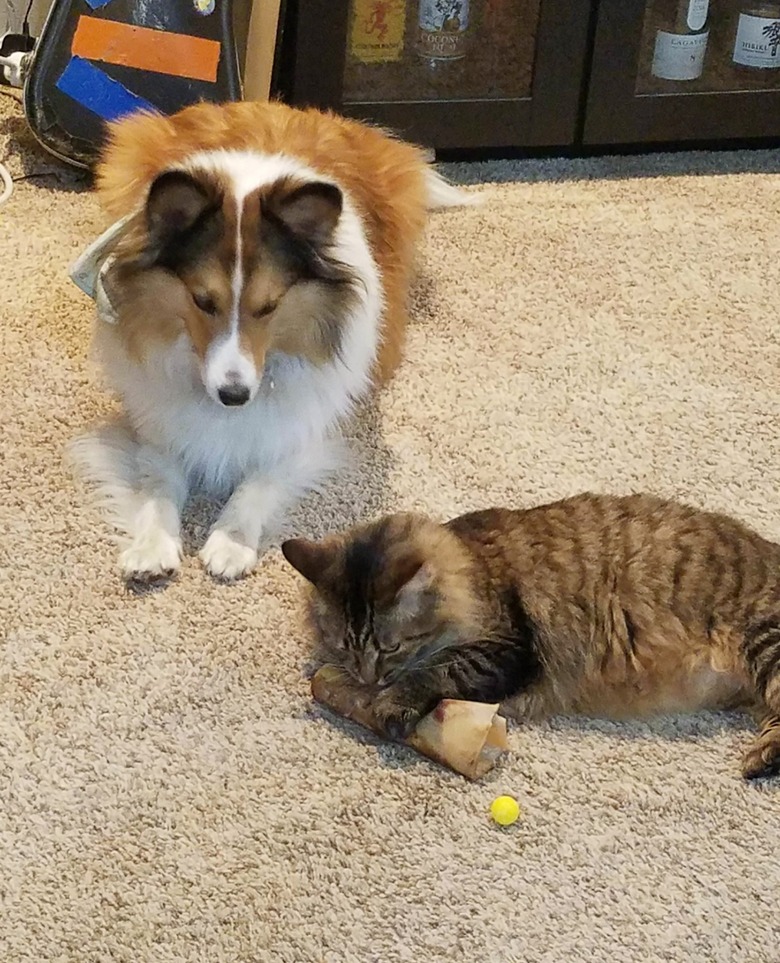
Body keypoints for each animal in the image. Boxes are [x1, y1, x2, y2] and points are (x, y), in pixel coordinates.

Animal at [71, 103, 476, 588]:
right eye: (202, 301)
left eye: (269, 306)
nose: (233, 395)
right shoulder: (155, 420)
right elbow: (158, 481)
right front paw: (153, 545)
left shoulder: (310, 424)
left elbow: (260, 478)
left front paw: (230, 542)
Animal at [284, 494, 780, 780]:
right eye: (346, 648)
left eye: (391, 647)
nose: (368, 680)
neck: (468, 568)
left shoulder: (507, 648)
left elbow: (435, 669)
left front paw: (392, 703)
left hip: (766, 643)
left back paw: (762, 761)